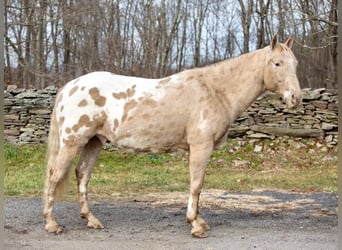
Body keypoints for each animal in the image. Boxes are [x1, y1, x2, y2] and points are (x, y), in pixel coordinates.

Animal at [43, 35, 302, 236]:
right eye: (277, 63)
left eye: (295, 63)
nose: (295, 98)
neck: (216, 90)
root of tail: (69, 87)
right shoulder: (201, 146)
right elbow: (196, 184)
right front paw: (195, 225)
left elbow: (199, 185)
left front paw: (200, 220)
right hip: (73, 141)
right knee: (55, 175)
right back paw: (52, 224)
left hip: (94, 142)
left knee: (82, 175)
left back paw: (91, 220)